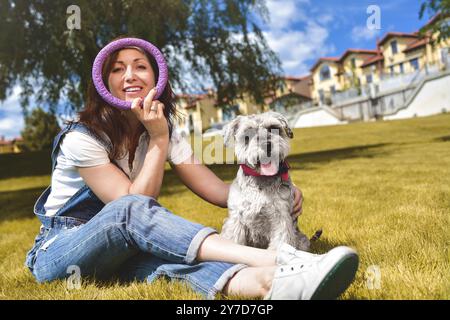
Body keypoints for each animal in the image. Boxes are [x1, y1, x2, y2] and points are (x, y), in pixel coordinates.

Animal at [221, 111, 312, 251]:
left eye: (273, 128)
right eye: (248, 134)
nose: (267, 145)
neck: (260, 182)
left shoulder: (281, 218)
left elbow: (280, 243)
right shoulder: (236, 219)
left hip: (303, 240)